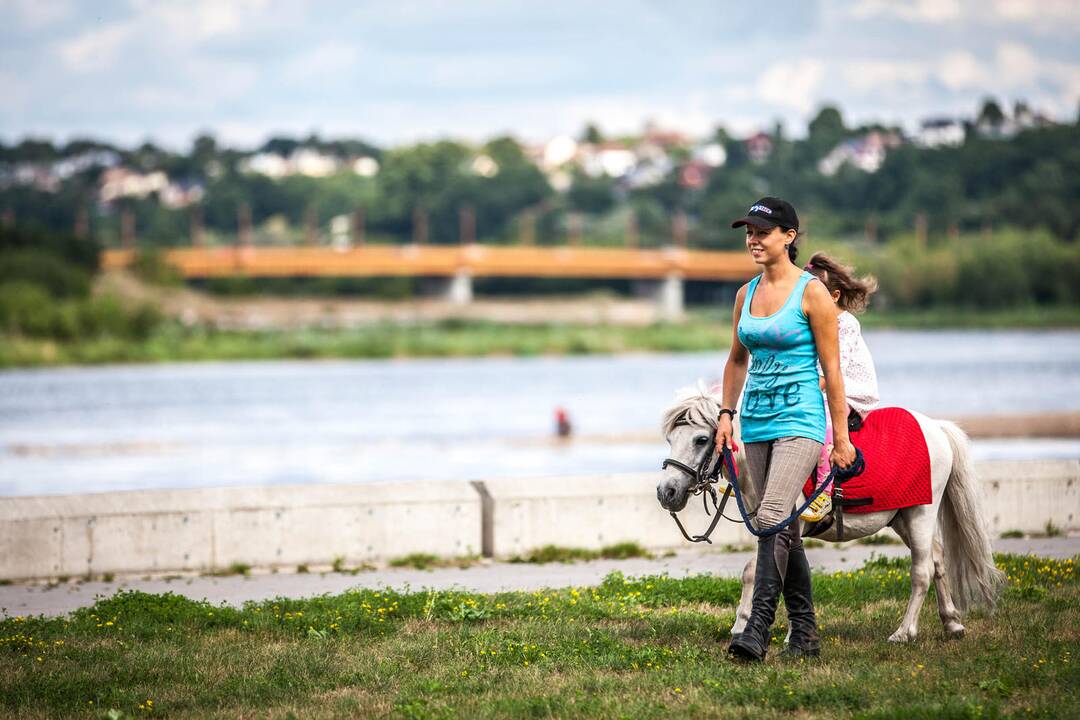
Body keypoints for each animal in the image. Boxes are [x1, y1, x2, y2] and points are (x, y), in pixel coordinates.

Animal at [656, 388, 1002, 643]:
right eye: (670, 440)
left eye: (701, 439)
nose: (666, 492)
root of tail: (937, 427)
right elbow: (752, 571)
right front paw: (742, 625)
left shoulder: (786, 523)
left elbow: (766, 570)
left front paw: (771, 632)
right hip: (903, 517)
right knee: (938, 560)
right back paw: (952, 624)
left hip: (921, 514)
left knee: (922, 572)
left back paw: (904, 633)